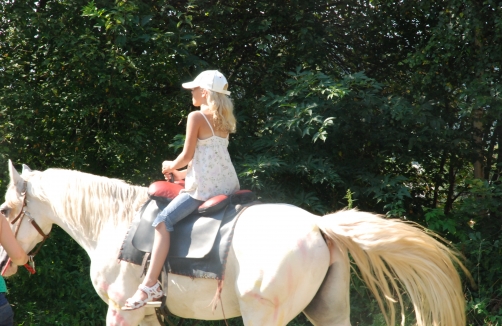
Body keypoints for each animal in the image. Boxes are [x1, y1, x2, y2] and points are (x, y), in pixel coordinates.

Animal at [0, 161, 468, 326]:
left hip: (264, 317)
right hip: (329, 313)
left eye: (5, 210)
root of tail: (318, 226)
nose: (4, 259)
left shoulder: (120, 309)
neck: (115, 223)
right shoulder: (145, 315)